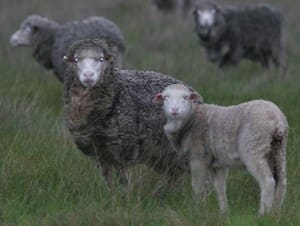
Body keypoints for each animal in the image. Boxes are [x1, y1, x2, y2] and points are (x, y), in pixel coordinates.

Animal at [63, 38, 198, 187]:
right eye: (76, 59)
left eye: (101, 58)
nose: (88, 75)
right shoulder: (100, 153)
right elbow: (108, 180)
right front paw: (109, 192)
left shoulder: (123, 147)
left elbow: (123, 180)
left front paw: (124, 193)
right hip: (162, 154)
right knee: (174, 175)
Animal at [155, 83, 288, 215]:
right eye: (165, 98)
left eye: (186, 97)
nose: (174, 110)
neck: (191, 120)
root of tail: (277, 120)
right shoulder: (218, 164)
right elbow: (220, 187)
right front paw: (224, 212)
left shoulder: (198, 158)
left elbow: (197, 186)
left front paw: (195, 209)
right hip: (278, 150)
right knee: (281, 182)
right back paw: (276, 213)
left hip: (253, 148)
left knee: (268, 181)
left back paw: (263, 213)